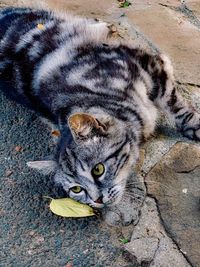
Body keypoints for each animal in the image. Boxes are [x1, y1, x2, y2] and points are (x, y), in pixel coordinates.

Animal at [0, 7, 200, 211]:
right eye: (77, 189)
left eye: (98, 170)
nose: (97, 200)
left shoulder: (144, 65)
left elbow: (174, 104)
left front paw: (195, 125)